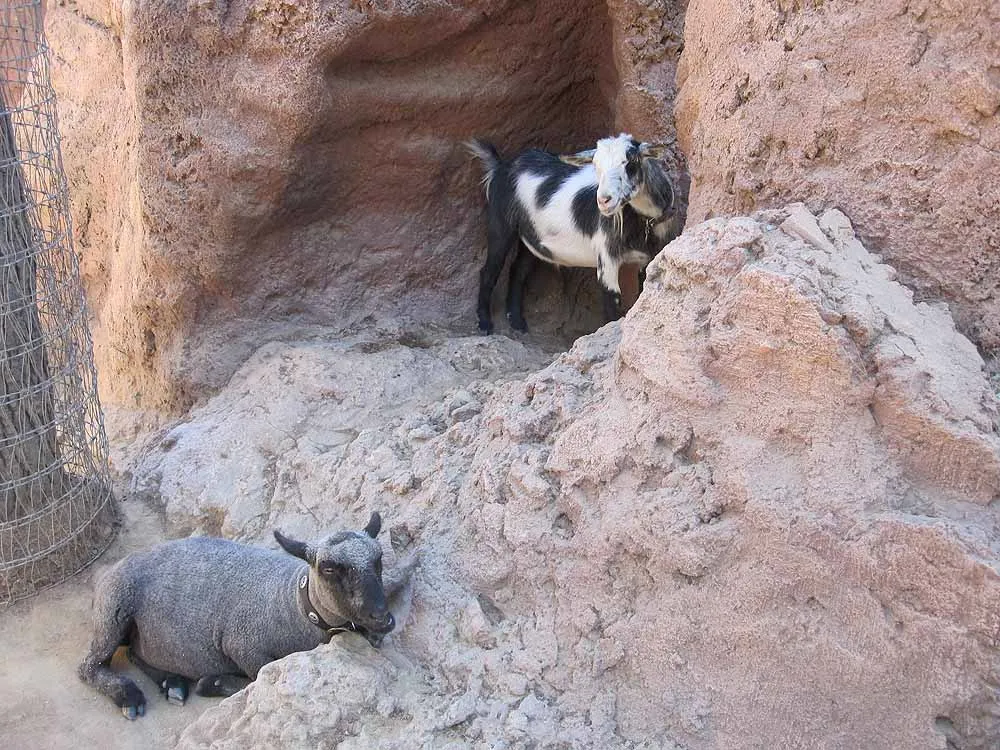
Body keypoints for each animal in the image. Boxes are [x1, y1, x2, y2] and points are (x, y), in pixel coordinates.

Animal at [79, 512, 411, 720]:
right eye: (329, 569)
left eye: (379, 559)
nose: (382, 617)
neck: (292, 602)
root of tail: (106, 573)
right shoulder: (242, 646)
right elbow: (257, 678)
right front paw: (212, 683)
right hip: (114, 607)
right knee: (90, 666)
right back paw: (128, 696)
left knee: (134, 652)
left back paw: (171, 683)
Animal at [466, 133, 676, 334]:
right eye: (596, 166)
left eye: (630, 161)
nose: (604, 200)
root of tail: (501, 166)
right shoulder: (606, 256)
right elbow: (611, 301)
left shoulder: (650, 257)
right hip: (500, 224)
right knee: (489, 270)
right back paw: (484, 324)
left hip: (532, 238)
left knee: (518, 270)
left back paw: (517, 322)